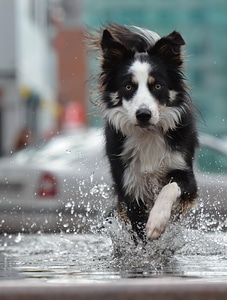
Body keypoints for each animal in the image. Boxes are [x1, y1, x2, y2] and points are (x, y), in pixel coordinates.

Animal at [91, 24, 198, 243]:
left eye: (157, 85)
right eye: (128, 86)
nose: (143, 115)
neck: (147, 133)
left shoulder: (186, 174)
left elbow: (169, 187)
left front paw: (157, 223)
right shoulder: (130, 185)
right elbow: (138, 230)